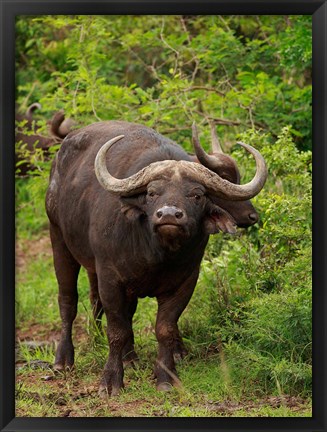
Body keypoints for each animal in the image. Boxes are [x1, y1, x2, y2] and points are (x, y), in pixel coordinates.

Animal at [45, 120, 266, 394]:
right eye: (152, 193)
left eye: (197, 195)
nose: (169, 215)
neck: (156, 252)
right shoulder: (110, 278)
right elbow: (116, 329)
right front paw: (110, 381)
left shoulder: (185, 282)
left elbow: (164, 329)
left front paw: (166, 376)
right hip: (59, 238)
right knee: (68, 300)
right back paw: (64, 360)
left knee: (111, 307)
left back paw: (129, 358)